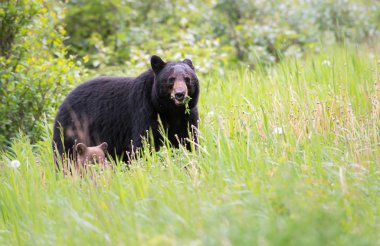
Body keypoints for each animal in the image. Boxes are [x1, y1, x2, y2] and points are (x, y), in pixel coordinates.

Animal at [53, 56, 202, 163]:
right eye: (171, 79)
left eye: (187, 79)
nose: (180, 94)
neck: (170, 110)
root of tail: (63, 102)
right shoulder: (144, 110)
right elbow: (144, 142)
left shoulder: (187, 117)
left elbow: (188, 139)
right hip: (73, 128)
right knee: (65, 154)